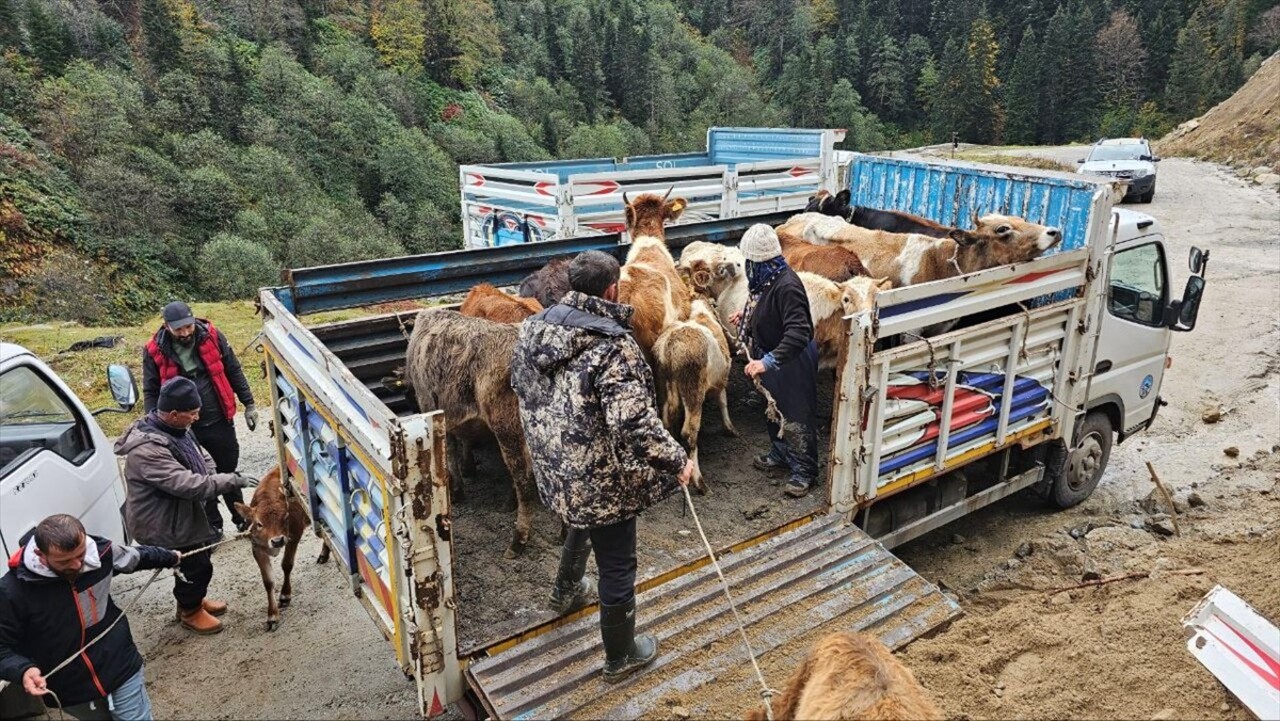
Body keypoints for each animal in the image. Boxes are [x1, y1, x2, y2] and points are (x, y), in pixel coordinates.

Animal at [235, 468, 325, 632]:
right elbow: (268, 581)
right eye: (259, 524)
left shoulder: (294, 535)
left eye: (286, 517)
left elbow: (287, 564)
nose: (277, 541)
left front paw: (285, 595)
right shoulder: (257, 547)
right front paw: (272, 616)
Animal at [404, 307, 535, 560]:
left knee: (523, 480)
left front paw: (456, 490)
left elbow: (449, 453)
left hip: (509, 429)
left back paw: (518, 541)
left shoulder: (431, 408)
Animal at [655, 295, 737, 494]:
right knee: (689, 433)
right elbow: (723, 401)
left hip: (665, 382)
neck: (702, 314)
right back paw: (700, 483)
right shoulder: (721, 379)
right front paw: (730, 428)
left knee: (667, 420)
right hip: (693, 389)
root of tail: (670, 346)